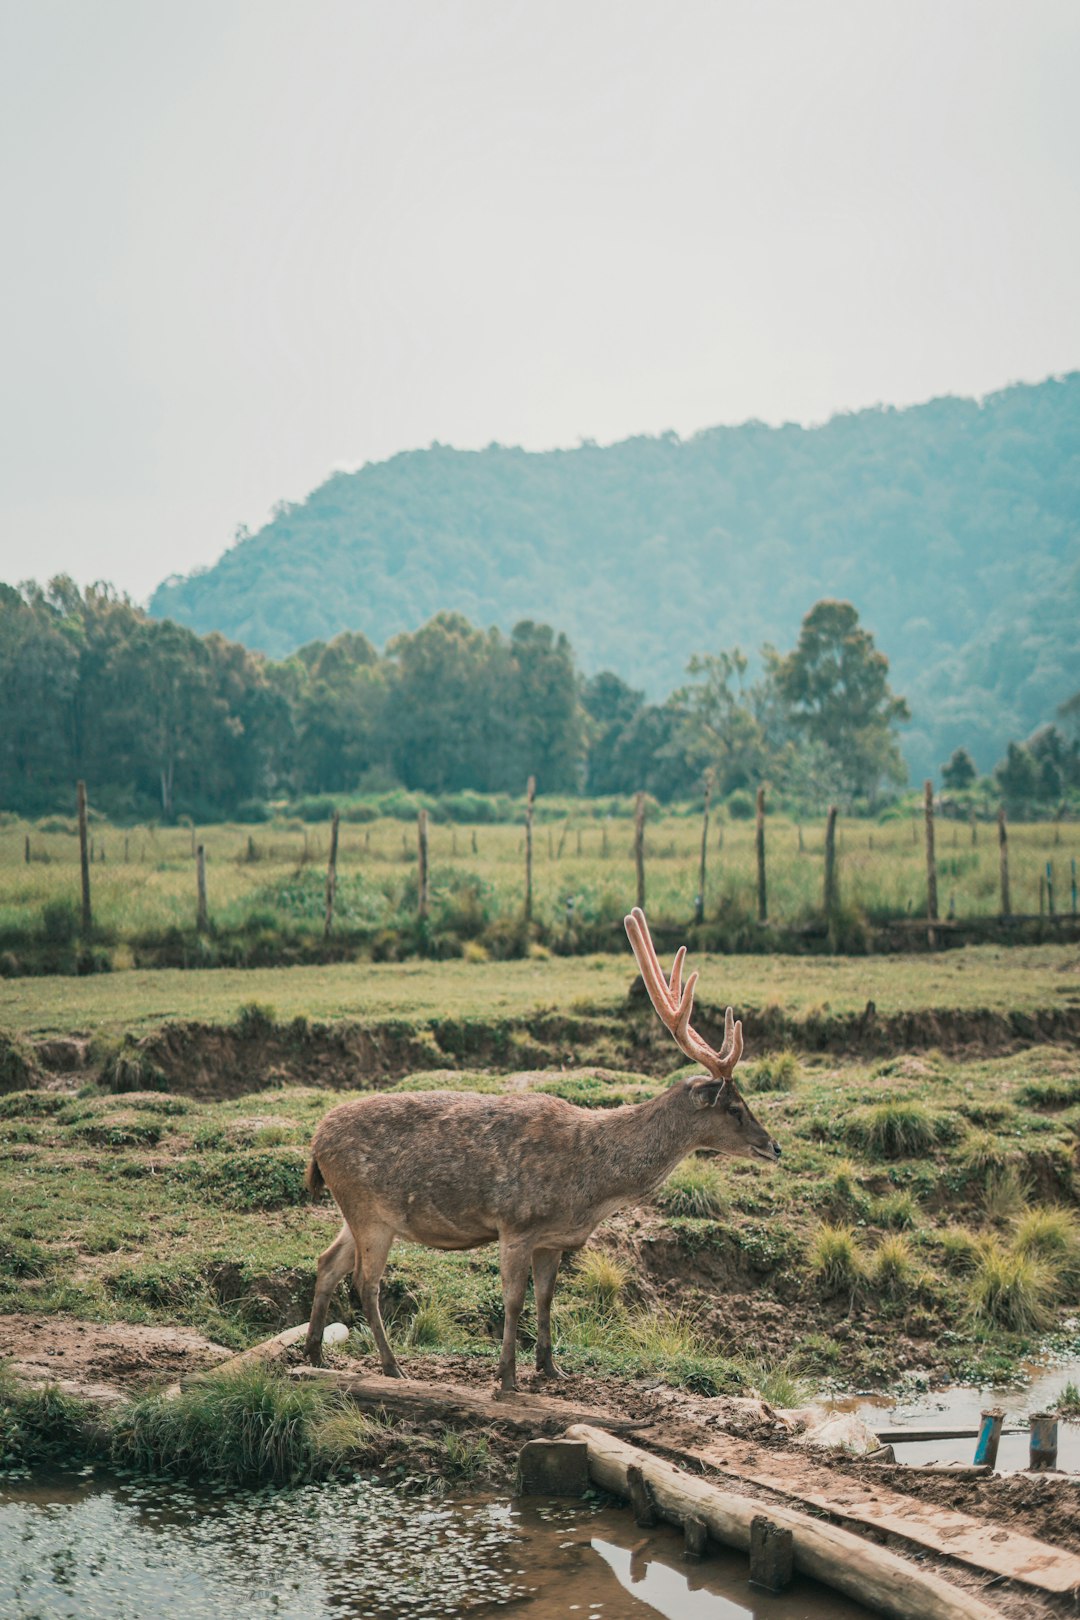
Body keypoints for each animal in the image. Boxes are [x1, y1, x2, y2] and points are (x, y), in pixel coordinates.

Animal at [299, 907, 780, 1386]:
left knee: (327, 1262)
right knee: (365, 1283)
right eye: (734, 1107)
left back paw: (315, 1353)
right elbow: (514, 1300)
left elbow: (547, 1298)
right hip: (367, 1210)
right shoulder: (515, 1224)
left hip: (359, 1212)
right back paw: (391, 1365)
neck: (590, 1187)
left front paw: (551, 1368)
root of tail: (316, 1143)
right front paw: (507, 1377)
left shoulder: (554, 1239)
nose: (774, 1147)